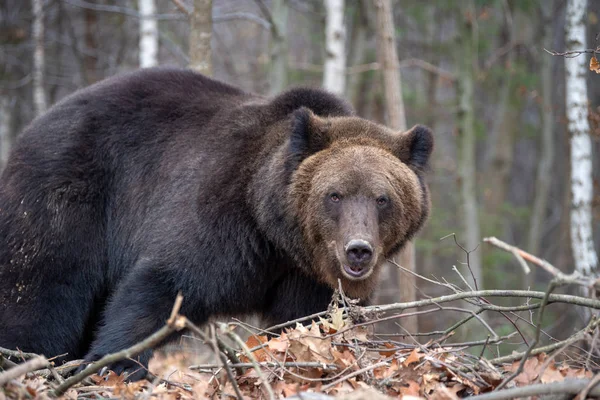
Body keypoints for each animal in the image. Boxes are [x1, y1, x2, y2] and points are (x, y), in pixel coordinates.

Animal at [0, 68, 432, 378]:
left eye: (383, 198)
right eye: (335, 195)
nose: (358, 250)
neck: (277, 235)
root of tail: (38, 122)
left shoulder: (306, 277)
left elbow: (305, 321)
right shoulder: (223, 225)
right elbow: (160, 286)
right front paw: (116, 364)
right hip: (68, 192)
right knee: (42, 287)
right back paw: (26, 359)